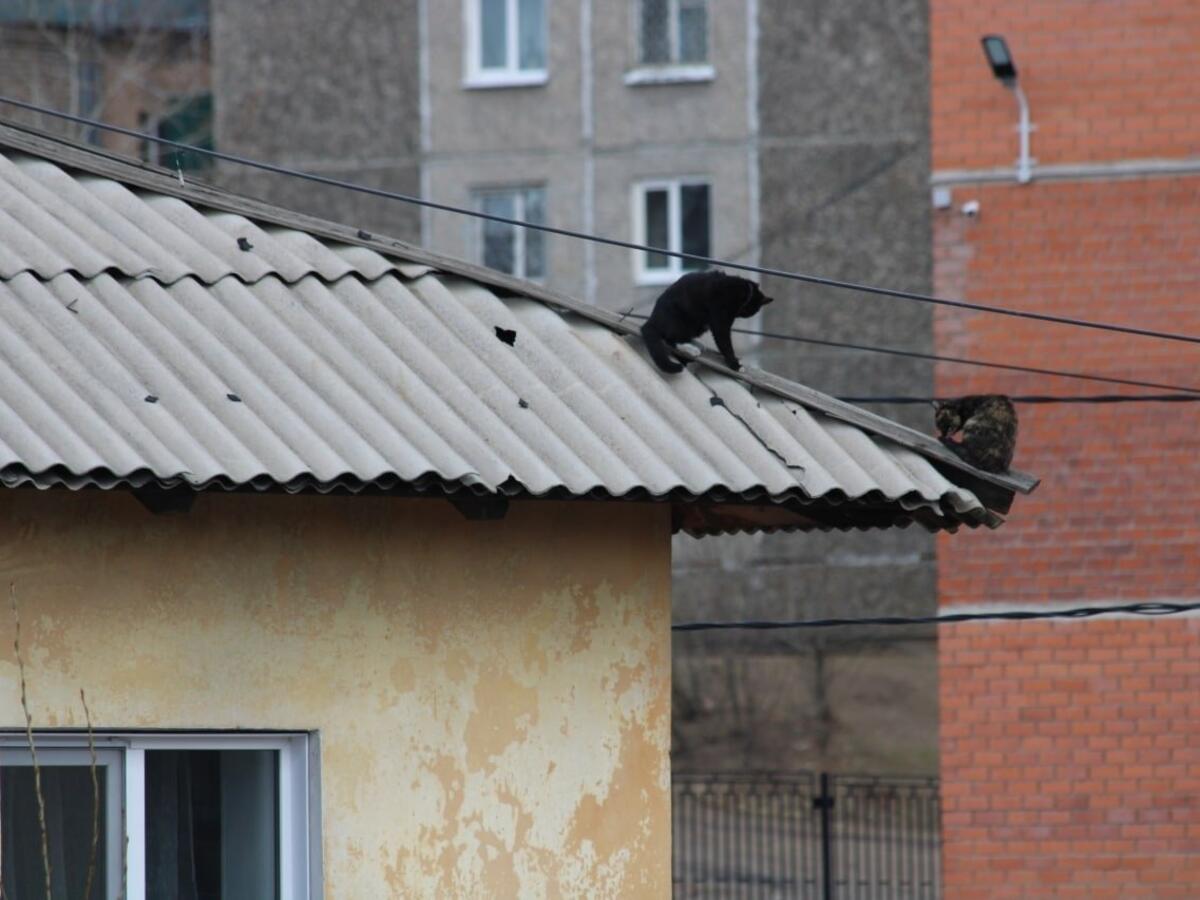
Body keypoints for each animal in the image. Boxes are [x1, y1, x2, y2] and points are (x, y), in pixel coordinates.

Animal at [643, 273, 772, 374]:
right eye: (754, 311)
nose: (745, 315)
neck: (743, 292)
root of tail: (652, 320)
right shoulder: (720, 321)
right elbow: (725, 343)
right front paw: (735, 364)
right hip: (681, 319)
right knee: (670, 339)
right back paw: (690, 348)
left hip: (698, 325)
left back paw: (695, 343)